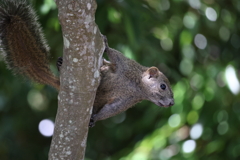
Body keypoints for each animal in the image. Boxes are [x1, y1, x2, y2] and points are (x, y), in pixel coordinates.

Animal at [0, 0, 173, 127]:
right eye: (163, 86)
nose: (171, 103)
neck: (137, 85)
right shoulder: (125, 65)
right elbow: (114, 55)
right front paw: (106, 44)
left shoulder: (127, 100)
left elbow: (111, 109)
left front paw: (95, 119)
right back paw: (60, 64)